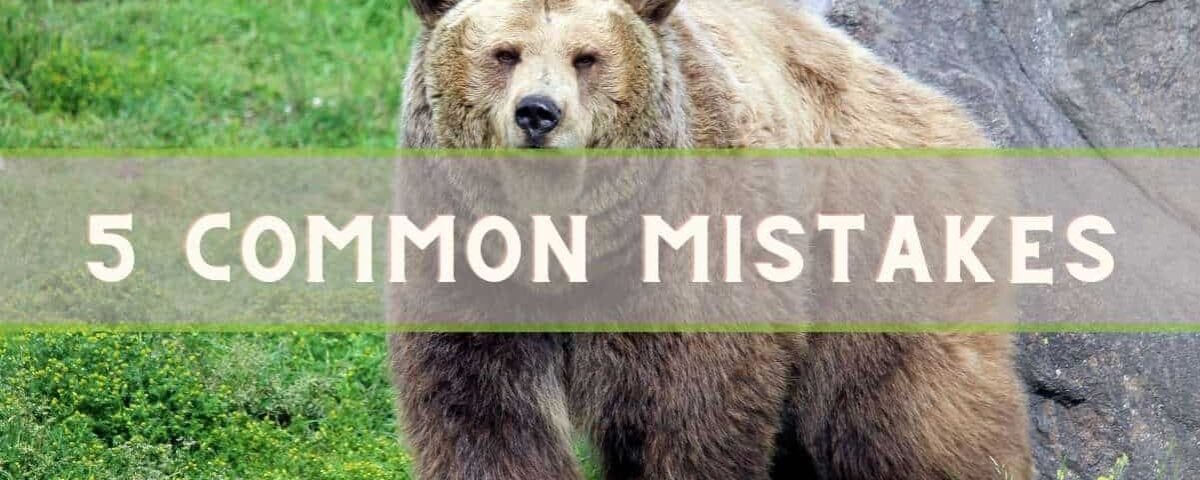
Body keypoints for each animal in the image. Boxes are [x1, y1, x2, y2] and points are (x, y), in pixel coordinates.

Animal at [388, 0, 1033, 479]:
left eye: (586, 57)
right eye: (505, 53)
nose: (538, 113)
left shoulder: (689, 254)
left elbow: (697, 405)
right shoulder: (465, 253)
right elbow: (481, 409)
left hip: (877, 236)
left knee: (911, 409)